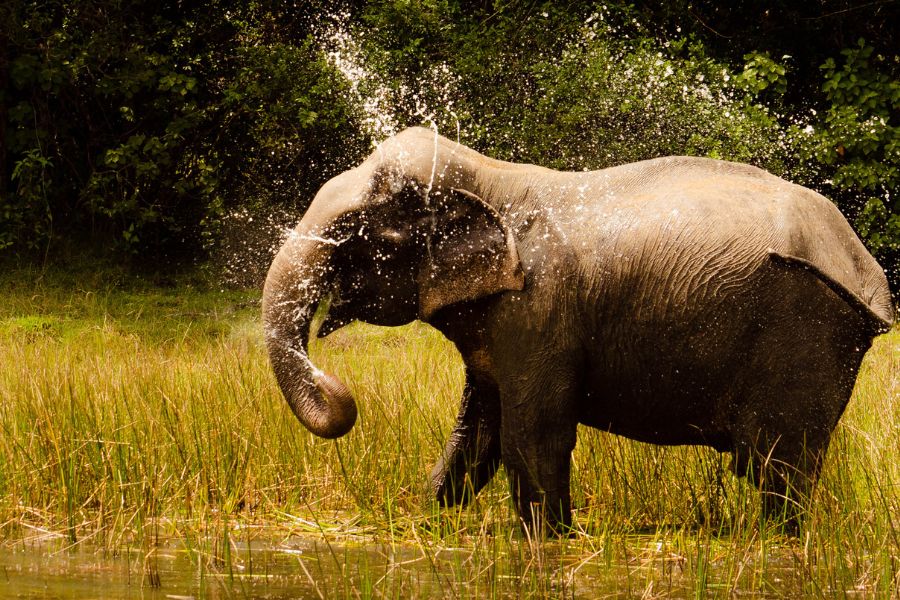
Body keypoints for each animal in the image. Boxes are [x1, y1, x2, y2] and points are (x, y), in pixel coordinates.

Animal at [263, 126, 893, 534]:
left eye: (370, 236)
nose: (339, 390)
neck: (490, 176)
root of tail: (868, 271)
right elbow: (477, 438)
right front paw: (423, 521)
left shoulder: (539, 309)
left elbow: (530, 438)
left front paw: (551, 543)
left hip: (806, 330)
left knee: (778, 466)